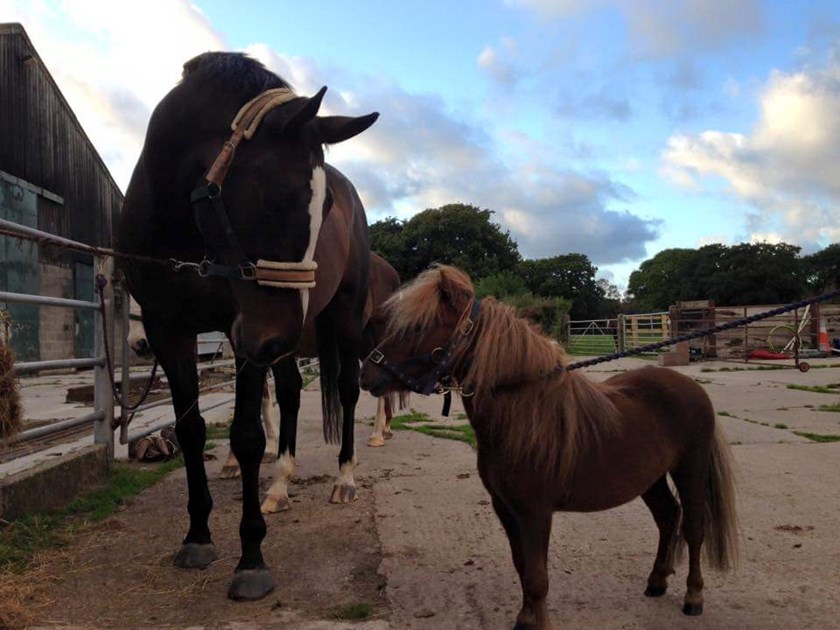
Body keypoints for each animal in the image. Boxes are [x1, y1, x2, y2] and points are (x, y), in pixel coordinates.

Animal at [117, 51, 378, 601]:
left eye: (324, 207)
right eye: (277, 194)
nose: (275, 339)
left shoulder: (246, 336)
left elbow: (247, 436)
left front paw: (251, 559)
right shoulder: (171, 329)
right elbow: (191, 429)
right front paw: (197, 536)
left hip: (340, 319)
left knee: (346, 390)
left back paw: (344, 478)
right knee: (294, 392)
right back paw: (279, 484)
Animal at [359, 265, 738, 629]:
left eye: (418, 327)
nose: (366, 377)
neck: (520, 413)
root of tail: (692, 387)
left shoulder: (535, 511)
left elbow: (537, 575)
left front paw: (536, 622)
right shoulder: (506, 508)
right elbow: (523, 566)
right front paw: (527, 617)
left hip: (690, 470)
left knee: (693, 528)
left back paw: (693, 598)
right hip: (652, 478)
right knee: (667, 517)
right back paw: (657, 581)